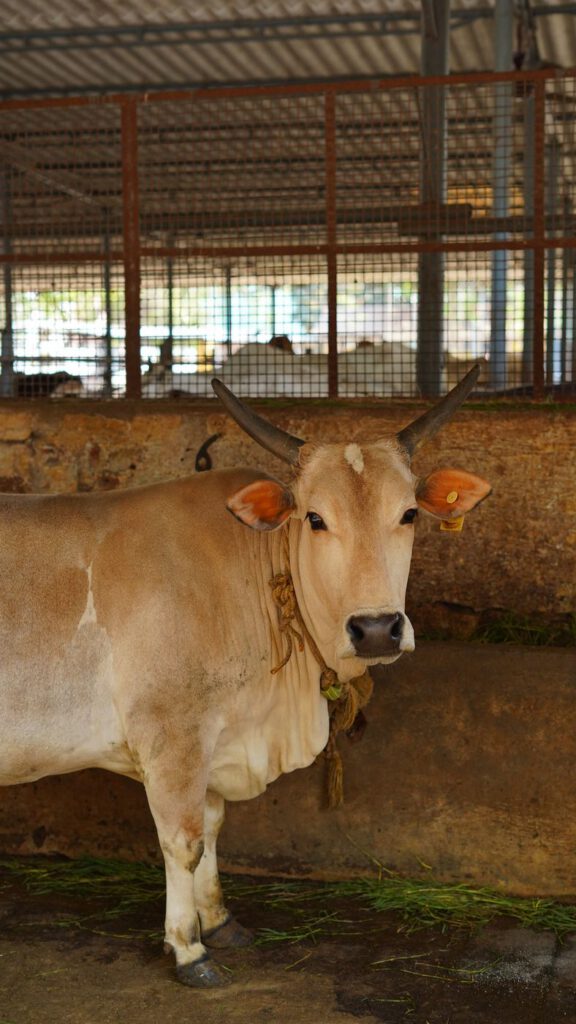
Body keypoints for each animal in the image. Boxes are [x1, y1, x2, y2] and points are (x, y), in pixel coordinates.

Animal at [0, 367, 490, 988]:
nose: (377, 629)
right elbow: (183, 842)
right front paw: (188, 948)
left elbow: (212, 829)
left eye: (408, 514)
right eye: (314, 518)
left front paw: (219, 921)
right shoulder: (173, 736)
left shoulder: (217, 735)